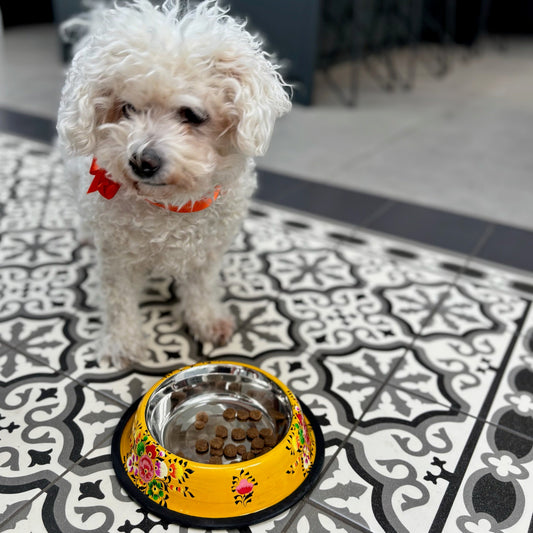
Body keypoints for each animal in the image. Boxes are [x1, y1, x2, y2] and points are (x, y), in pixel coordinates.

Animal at [57, 0, 290, 366]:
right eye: (127, 108)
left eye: (192, 115)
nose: (142, 161)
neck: (169, 207)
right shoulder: (117, 256)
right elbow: (119, 301)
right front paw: (122, 344)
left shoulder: (207, 253)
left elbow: (201, 289)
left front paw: (206, 321)